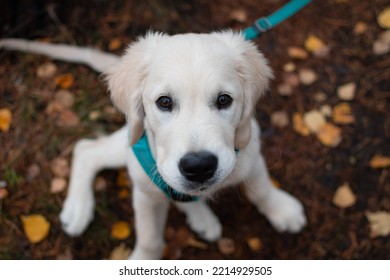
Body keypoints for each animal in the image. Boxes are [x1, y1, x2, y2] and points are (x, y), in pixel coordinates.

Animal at [2, 31, 308, 260]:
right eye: (164, 102)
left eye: (224, 100)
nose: (199, 167)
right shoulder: (145, 192)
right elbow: (150, 239)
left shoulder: (250, 152)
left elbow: (261, 190)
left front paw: (281, 210)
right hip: (129, 148)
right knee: (87, 150)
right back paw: (78, 209)